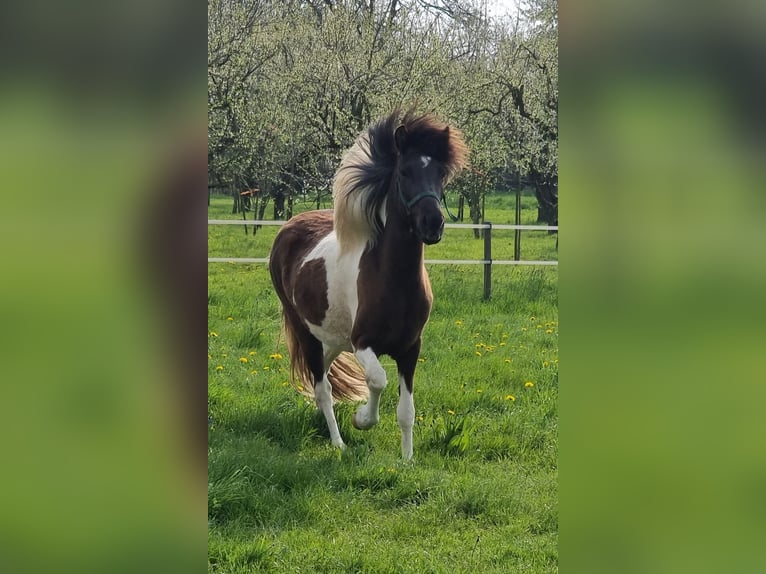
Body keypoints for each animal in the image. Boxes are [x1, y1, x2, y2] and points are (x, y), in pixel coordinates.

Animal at [268, 110, 468, 459]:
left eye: (441, 174)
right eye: (405, 171)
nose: (433, 224)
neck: (394, 283)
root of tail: (289, 226)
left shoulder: (411, 348)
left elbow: (406, 411)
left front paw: (407, 459)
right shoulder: (363, 343)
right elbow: (377, 380)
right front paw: (362, 419)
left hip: (332, 338)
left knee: (327, 379)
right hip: (308, 334)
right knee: (323, 388)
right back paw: (338, 443)